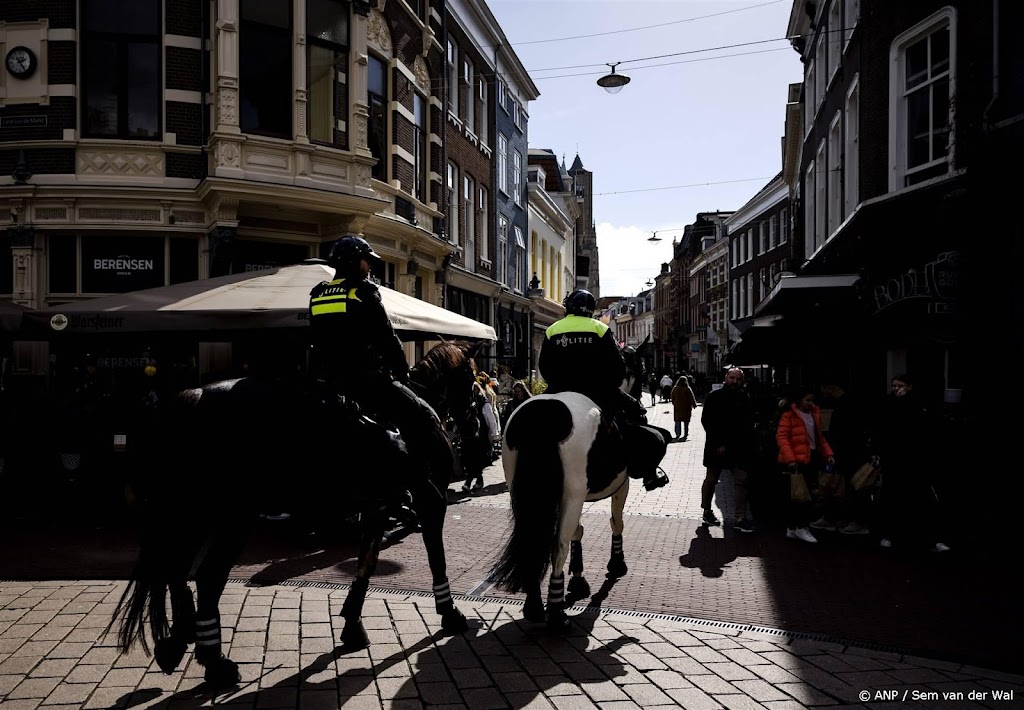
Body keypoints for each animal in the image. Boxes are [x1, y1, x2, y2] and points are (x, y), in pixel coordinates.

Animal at [105, 340, 481, 684]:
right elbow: (435, 555)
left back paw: (177, 644)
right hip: (232, 517)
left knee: (176, 571)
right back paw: (215, 662)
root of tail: (190, 398)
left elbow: (367, 562)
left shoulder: (379, 506)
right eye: (472, 377)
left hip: (194, 515)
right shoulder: (429, 500)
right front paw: (449, 612)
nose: (474, 425)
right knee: (208, 576)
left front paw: (352, 624)